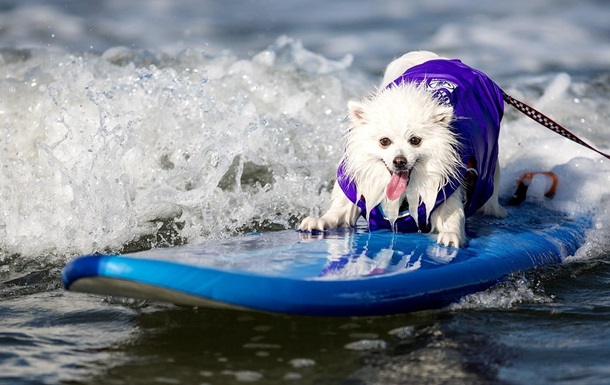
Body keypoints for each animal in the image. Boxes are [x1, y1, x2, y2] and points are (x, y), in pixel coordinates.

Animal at [298, 51, 504, 246]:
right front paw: (318, 220)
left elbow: (452, 217)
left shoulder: (444, 189)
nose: (399, 161)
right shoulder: (357, 191)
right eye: (384, 141)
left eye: (415, 140)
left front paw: (451, 235)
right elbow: (338, 212)